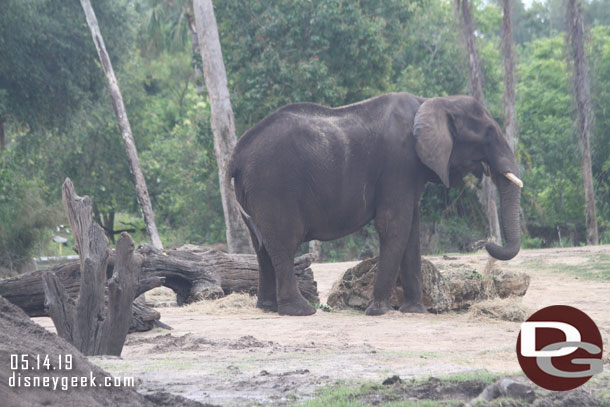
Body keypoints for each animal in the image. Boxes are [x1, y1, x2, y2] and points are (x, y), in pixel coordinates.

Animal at [226, 92, 520, 316]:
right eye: (487, 134)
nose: (488, 244)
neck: (432, 102)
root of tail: (237, 154)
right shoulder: (398, 163)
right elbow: (394, 226)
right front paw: (378, 310)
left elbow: (411, 230)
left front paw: (415, 311)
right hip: (273, 185)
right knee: (283, 243)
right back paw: (301, 311)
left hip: (253, 191)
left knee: (261, 246)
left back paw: (267, 308)